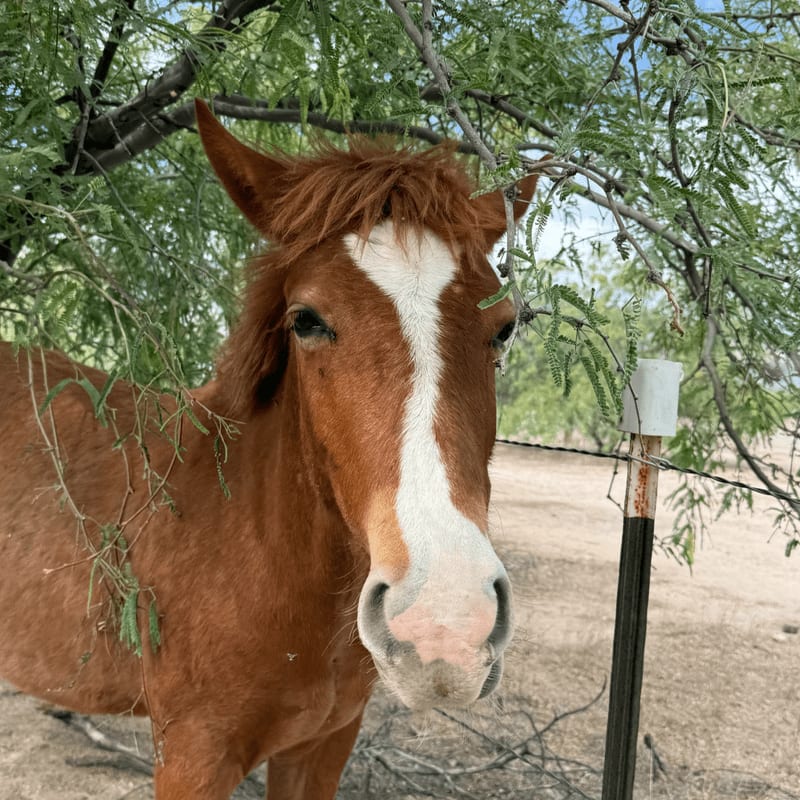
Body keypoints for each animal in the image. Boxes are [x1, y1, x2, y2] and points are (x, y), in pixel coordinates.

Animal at [0, 99, 538, 799]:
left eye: (504, 327)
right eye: (306, 319)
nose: (444, 622)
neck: (250, 542)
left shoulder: (322, 746)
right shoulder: (193, 756)